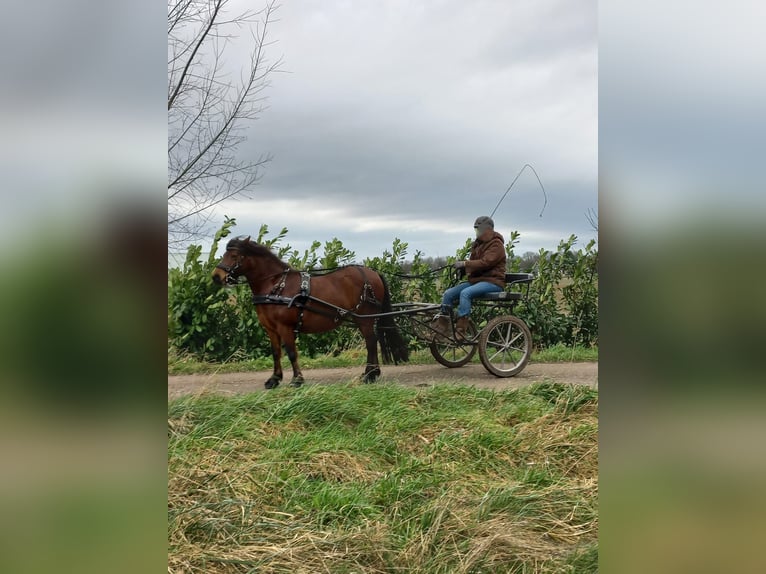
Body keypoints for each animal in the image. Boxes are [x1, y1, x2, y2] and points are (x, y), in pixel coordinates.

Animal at [213, 236, 412, 390]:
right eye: (225, 254)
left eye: (234, 255)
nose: (216, 276)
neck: (276, 286)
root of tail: (372, 272)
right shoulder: (270, 329)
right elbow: (276, 352)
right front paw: (274, 379)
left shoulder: (285, 327)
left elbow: (292, 352)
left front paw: (297, 380)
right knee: (372, 342)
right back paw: (371, 373)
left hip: (365, 319)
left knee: (371, 342)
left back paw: (370, 375)